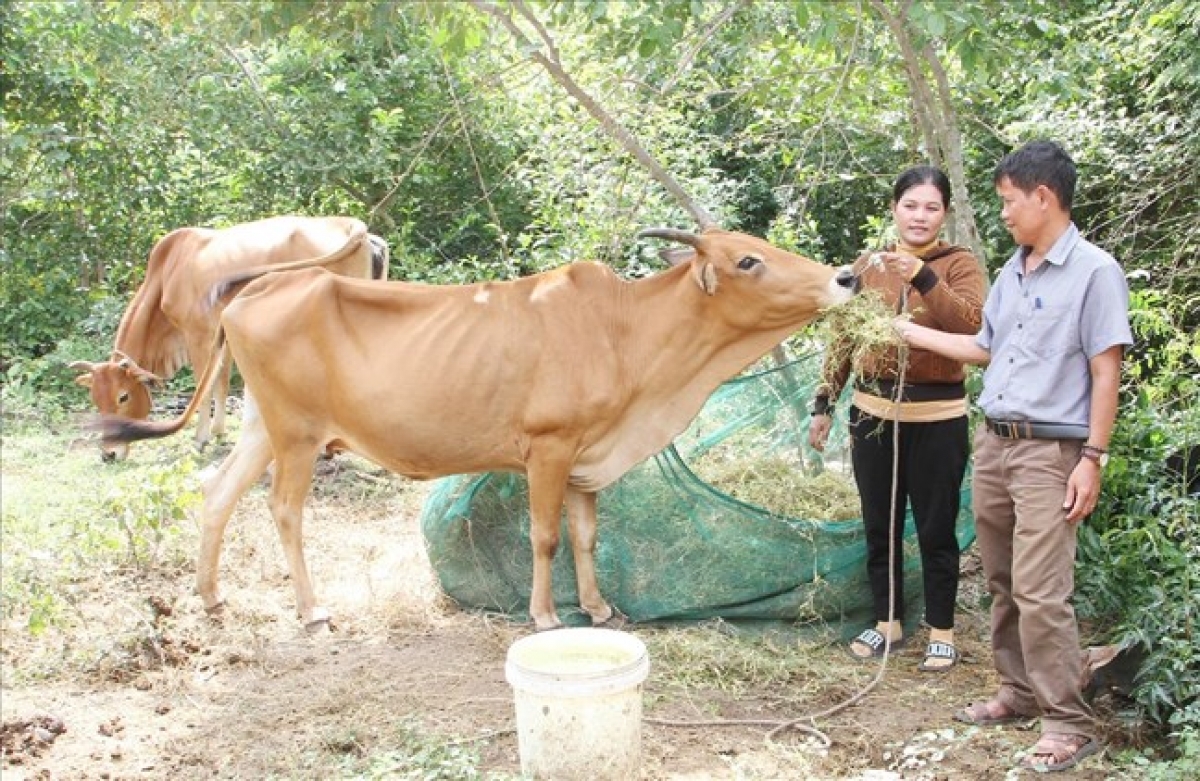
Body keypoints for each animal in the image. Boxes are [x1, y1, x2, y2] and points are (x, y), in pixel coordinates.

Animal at [70, 217, 386, 460]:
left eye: (122, 396)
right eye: (95, 399)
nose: (109, 454)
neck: (166, 273)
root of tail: (353, 226)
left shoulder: (197, 335)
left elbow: (204, 386)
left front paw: (201, 439)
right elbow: (221, 380)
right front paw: (219, 431)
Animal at [100, 229, 854, 633]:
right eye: (747, 261)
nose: (845, 275)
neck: (624, 331)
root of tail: (257, 286)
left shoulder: (589, 456)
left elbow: (588, 535)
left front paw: (599, 607)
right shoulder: (549, 446)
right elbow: (545, 536)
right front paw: (546, 616)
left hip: (262, 427)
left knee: (216, 492)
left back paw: (210, 593)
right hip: (296, 435)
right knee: (283, 510)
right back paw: (311, 610)